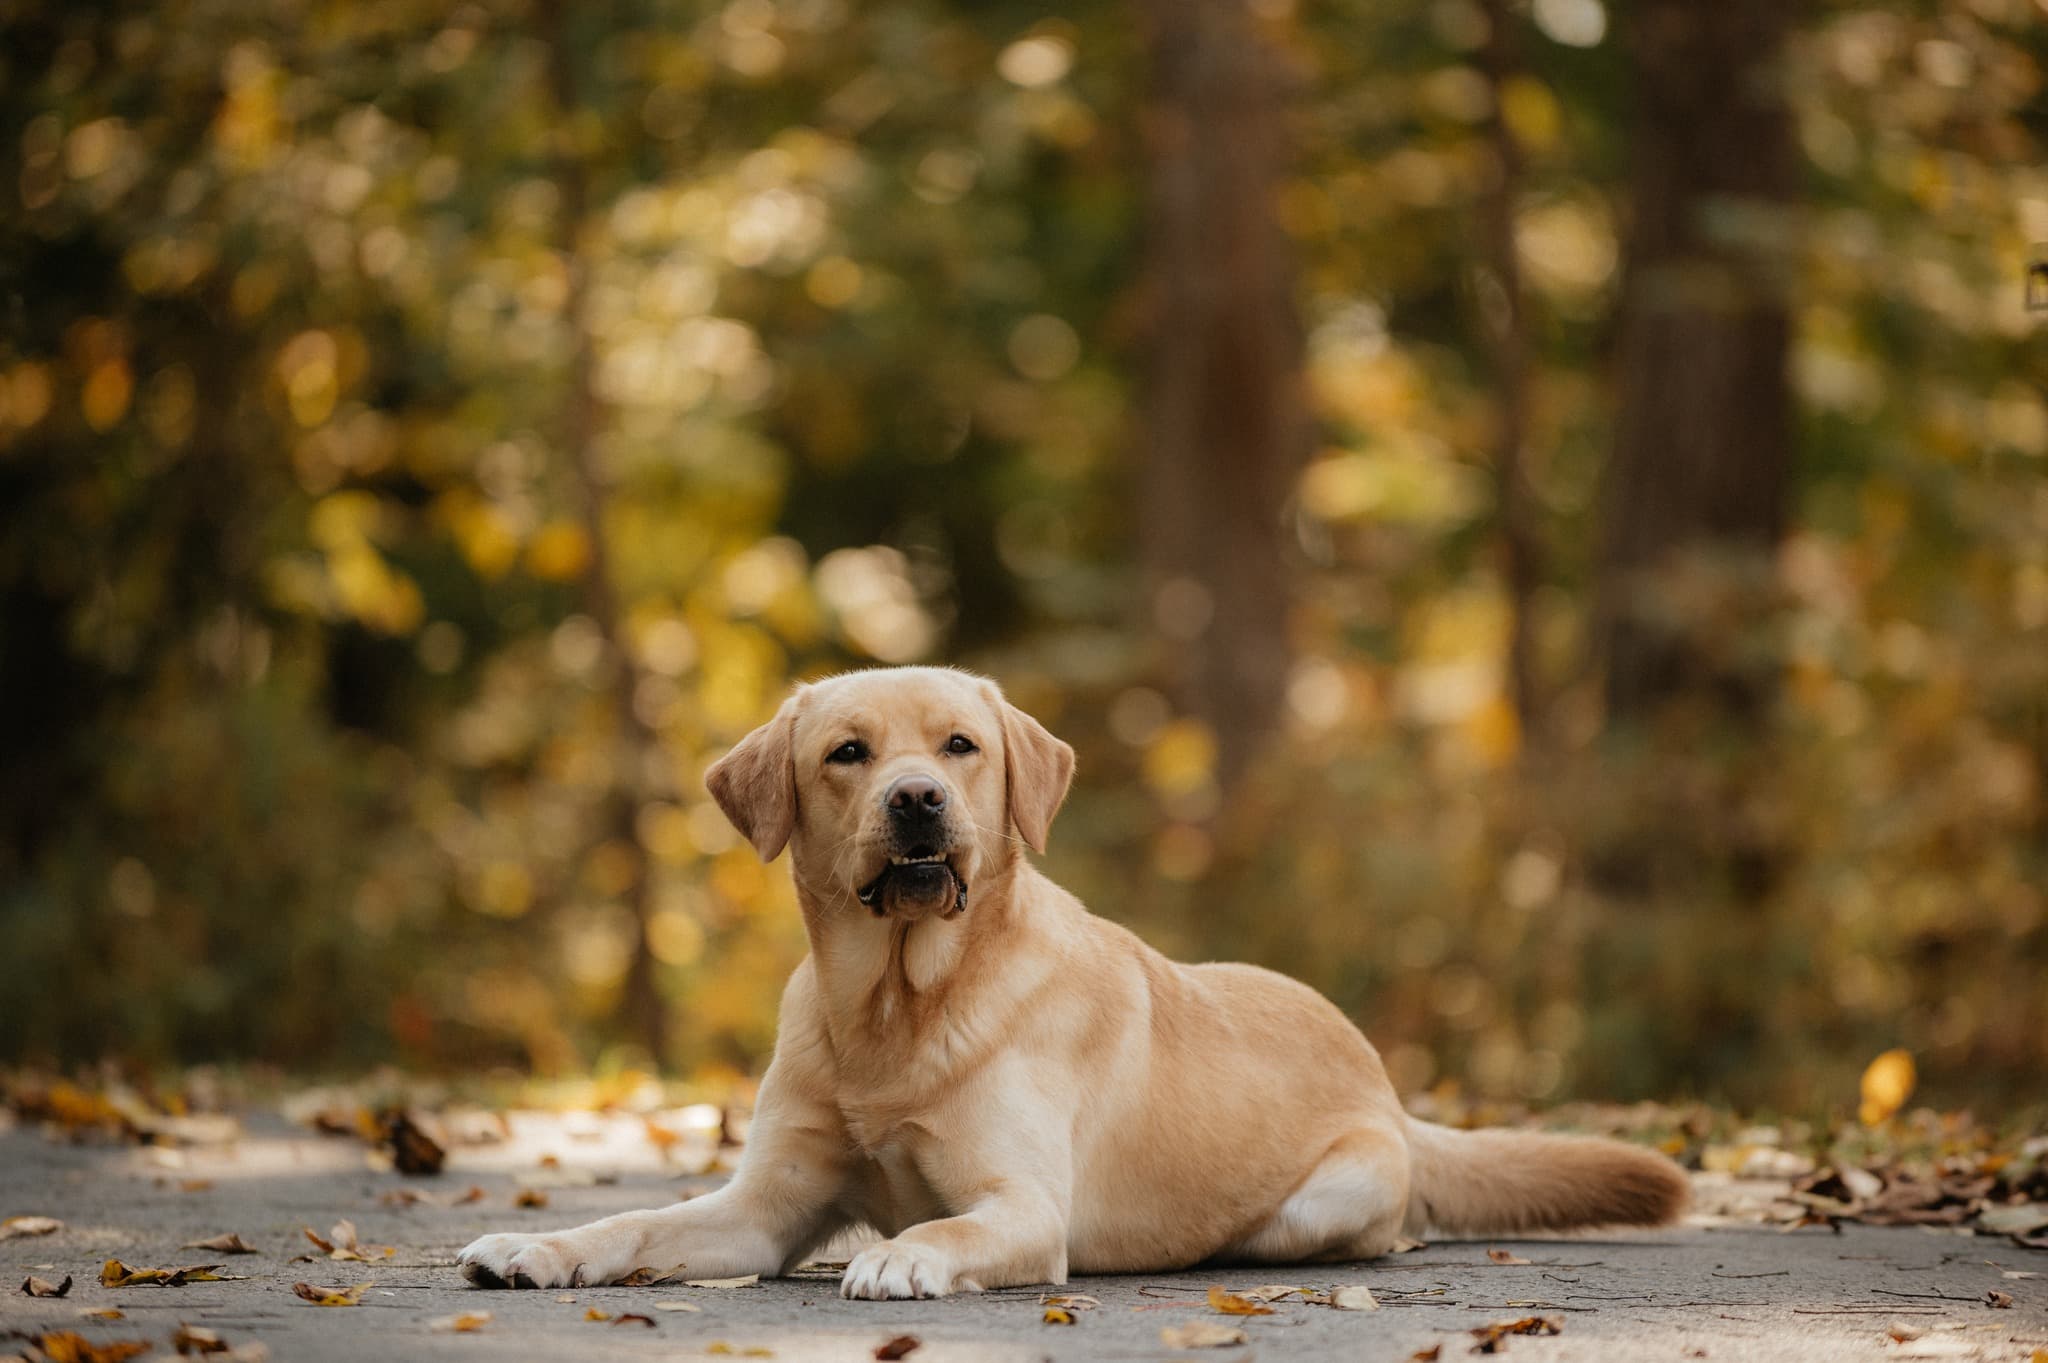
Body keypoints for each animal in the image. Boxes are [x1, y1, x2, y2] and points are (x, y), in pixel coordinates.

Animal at [456, 667, 1687, 1293]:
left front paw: (904, 1257)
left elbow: (947, 1229)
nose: (917, 800)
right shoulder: (762, 1208)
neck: (896, 1006)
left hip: (1322, 1201)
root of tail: (1388, 1084)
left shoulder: (1023, 1204)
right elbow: (633, 1225)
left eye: (960, 746)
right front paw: (538, 1247)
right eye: (847, 753)